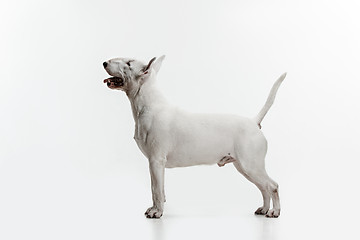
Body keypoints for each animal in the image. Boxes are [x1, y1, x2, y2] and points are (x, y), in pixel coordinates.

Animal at [102, 55, 286, 218]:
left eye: (129, 63)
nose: (104, 63)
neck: (148, 105)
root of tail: (254, 121)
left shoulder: (155, 160)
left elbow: (156, 189)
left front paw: (156, 212)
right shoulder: (157, 164)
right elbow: (160, 189)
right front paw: (157, 209)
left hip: (251, 165)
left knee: (272, 186)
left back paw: (274, 212)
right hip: (244, 167)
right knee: (263, 188)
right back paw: (264, 209)